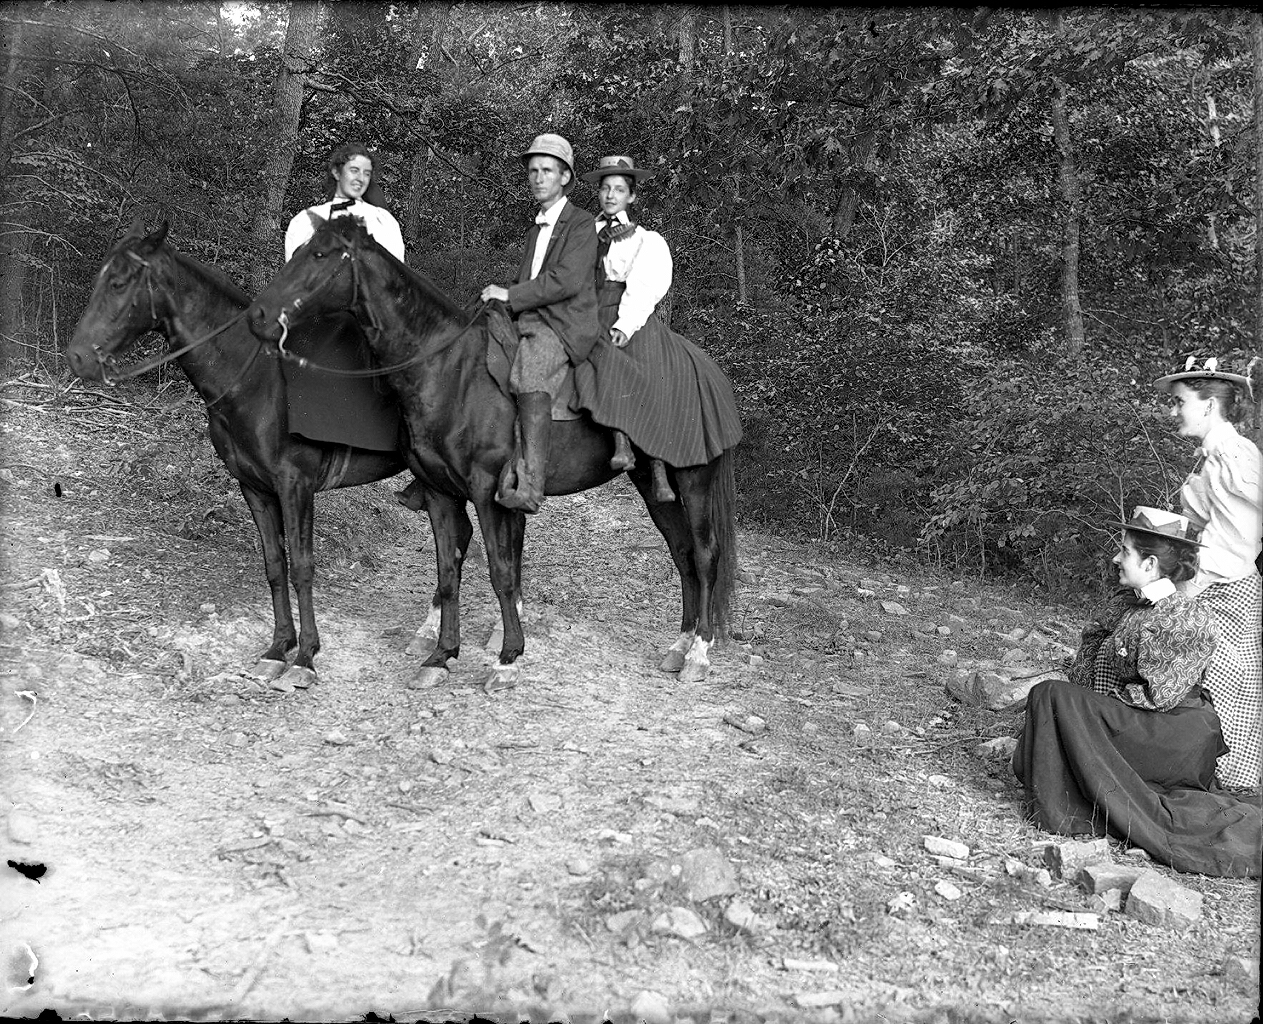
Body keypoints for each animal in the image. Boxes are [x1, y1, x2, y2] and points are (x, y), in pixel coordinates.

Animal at [65, 219, 439, 691]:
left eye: (117, 283)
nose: (77, 357)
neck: (254, 380)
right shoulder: (255, 488)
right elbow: (275, 566)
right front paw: (278, 649)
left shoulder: (295, 485)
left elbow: (301, 566)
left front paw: (306, 658)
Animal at [246, 218, 737, 696]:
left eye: (319, 254)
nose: (259, 315)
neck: (448, 371)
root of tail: (709, 371)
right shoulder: (440, 493)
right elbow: (448, 572)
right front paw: (441, 656)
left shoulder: (486, 493)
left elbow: (501, 570)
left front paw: (507, 658)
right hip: (656, 489)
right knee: (682, 553)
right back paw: (679, 646)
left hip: (694, 480)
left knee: (705, 554)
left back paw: (698, 653)